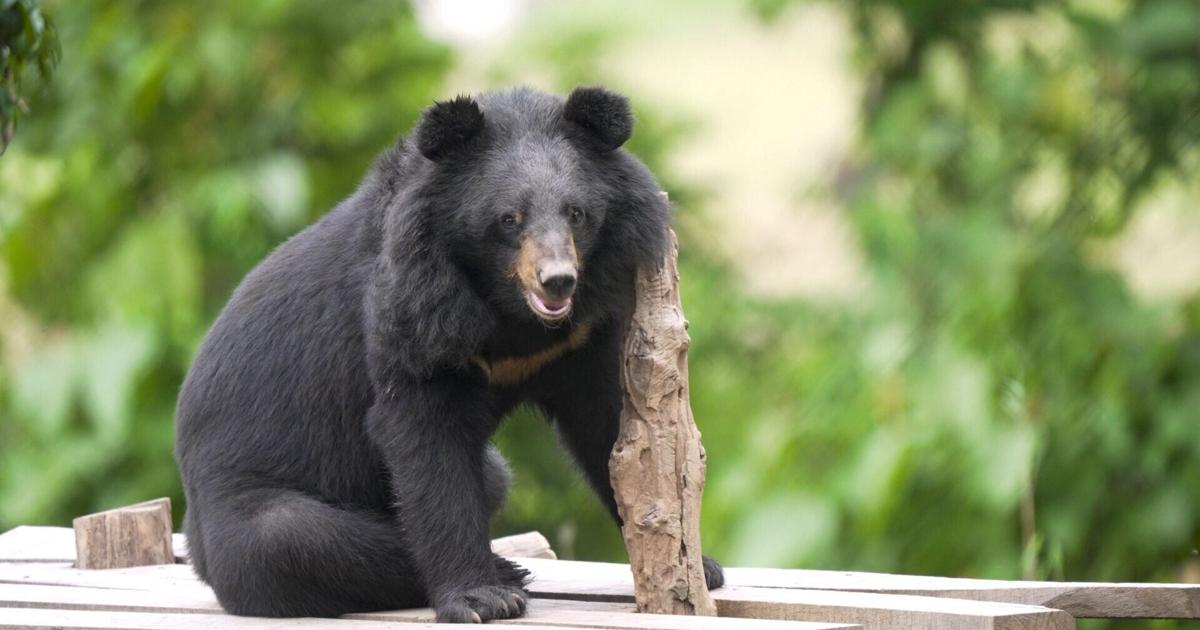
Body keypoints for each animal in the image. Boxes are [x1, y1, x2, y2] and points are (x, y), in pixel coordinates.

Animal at [174, 86, 724, 624]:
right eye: (509, 219)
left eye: (576, 213)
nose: (558, 280)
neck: (511, 311)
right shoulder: (414, 316)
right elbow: (428, 445)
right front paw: (482, 598)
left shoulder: (580, 335)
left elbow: (609, 428)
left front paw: (698, 566)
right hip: (244, 507)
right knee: (287, 538)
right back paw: (508, 571)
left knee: (493, 478)